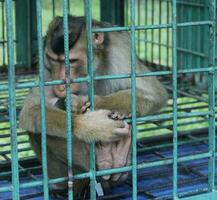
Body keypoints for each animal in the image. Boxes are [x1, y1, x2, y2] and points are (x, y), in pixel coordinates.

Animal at [19, 15, 168, 197]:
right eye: (53, 60)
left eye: (72, 61)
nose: (60, 85)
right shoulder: (46, 69)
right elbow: (31, 109)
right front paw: (91, 125)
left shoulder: (120, 51)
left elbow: (155, 93)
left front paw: (85, 102)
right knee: (39, 131)